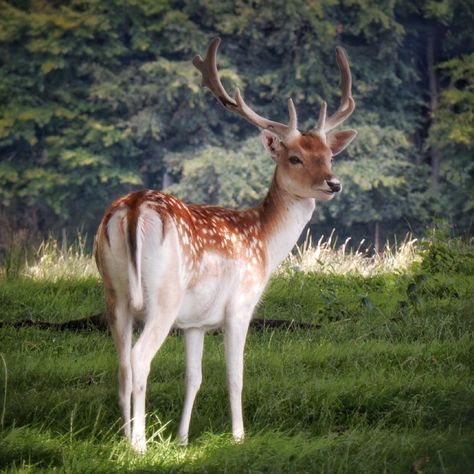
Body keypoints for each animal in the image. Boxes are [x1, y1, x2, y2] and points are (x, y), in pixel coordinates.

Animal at [95, 37, 356, 452]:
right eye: (295, 157)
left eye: (329, 155)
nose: (334, 183)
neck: (263, 243)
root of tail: (134, 208)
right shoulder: (240, 305)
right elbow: (235, 374)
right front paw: (238, 437)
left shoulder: (195, 323)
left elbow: (194, 376)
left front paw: (183, 439)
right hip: (163, 296)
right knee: (139, 359)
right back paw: (139, 444)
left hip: (113, 292)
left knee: (120, 362)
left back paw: (123, 439)